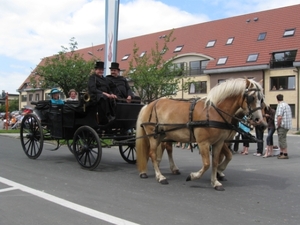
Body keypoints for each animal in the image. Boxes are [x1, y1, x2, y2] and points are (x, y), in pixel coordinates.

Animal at [135, 78, 264, 191]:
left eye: (261, 99)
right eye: (251, 97)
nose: (259, 121)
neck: (213, 111)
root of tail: (149, 105)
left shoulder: (219, 142)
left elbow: (216, 161)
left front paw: (215, 180)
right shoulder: (203, 143)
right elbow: (207, 164)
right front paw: (193, 176)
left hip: (163, 135)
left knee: (163, 150)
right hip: (153, 135)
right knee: (152, 153)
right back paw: (160, 176)